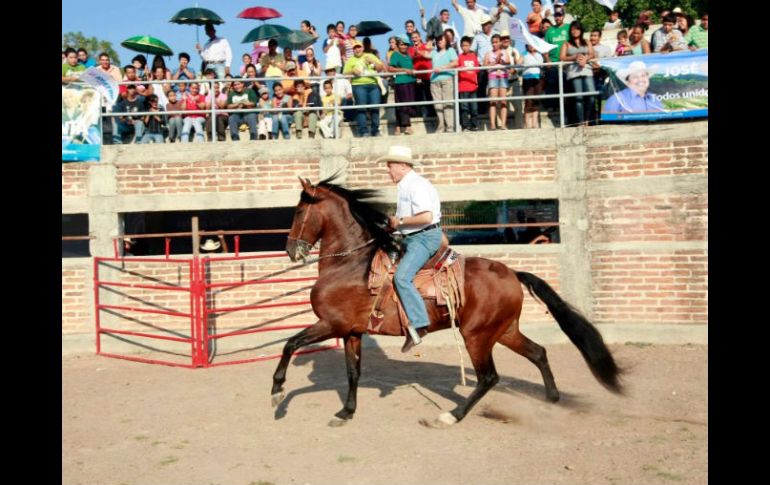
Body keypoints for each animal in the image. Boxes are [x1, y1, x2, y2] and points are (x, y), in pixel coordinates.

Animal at [272, 176, 620, 426]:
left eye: (298, 211)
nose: (291, 250)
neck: (353, 265)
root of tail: (512, 273)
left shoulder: (330, 324)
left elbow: (290, 344)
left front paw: (277, 394)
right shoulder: (351, 332)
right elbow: (352, 372)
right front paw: (346, 412)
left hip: (477, 336)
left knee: (489, 377)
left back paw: (451, 416)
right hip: (505, 331)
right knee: (538, 353)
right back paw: (552, 399)